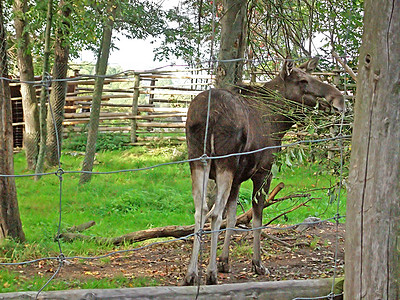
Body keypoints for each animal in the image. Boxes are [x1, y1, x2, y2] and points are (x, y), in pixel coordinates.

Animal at [184, 57, 344, 284]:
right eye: (303, 81)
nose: (338, 99)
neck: (281, 122)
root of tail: (208, 115)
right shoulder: (263, 173)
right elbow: (256, 218)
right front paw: (257, 264)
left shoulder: (238, 179)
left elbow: (232, 217)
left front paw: (225, 261)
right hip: (225, 162)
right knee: (214, 213)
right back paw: (210, 274)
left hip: (198, 160)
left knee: (201, 211)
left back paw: (191, 274)